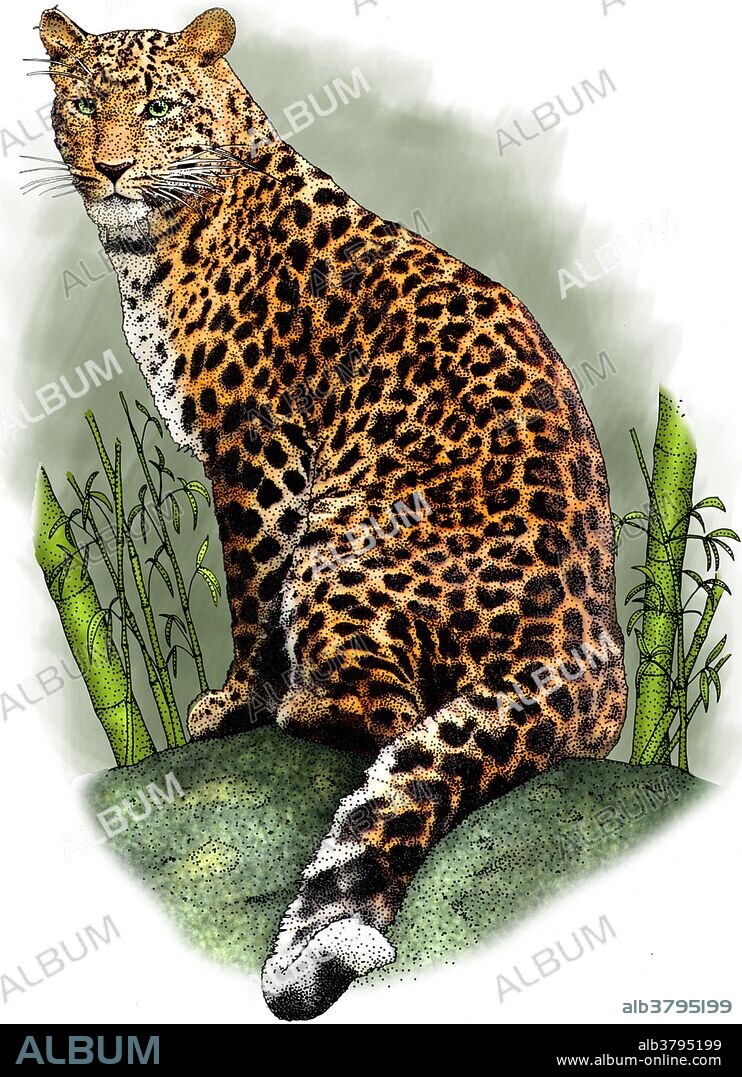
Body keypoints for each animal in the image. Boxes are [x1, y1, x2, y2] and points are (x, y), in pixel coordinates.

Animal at [38, 6, 627, 1021]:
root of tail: (590, 656)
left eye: (158, 107)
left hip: (342, 540)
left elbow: (248, 585)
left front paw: (235, 701)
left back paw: (299, 704)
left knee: (387, 711)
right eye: (81, 105)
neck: (153, 242)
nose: (110, 168)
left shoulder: (257, 441)